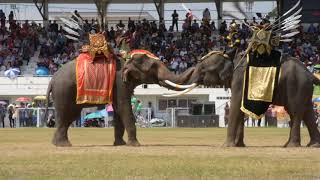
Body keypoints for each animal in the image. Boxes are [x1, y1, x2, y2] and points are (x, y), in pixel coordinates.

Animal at [166, 50, 320, 148]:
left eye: (203, 70)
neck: (232, 58)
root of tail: (310, 74)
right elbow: (240, 110)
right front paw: (239, 145)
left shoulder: (239, 80)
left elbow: (235, 107)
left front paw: (226, 146)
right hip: (303, 89)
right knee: (308, 113)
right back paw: (312, 145)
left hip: (296, 86)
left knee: (295, 113)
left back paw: (291, 146)